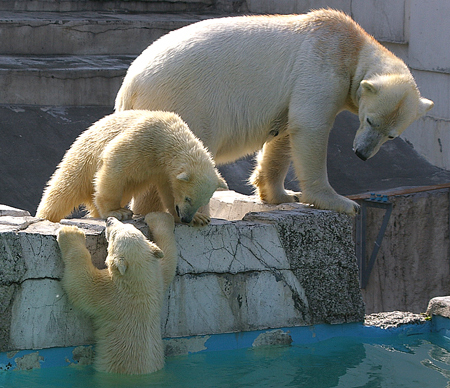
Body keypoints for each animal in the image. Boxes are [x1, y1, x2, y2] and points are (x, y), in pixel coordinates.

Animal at [35, 110, 227, 224]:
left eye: (203, 201)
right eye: (188, 198)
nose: (186, 219)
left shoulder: (163, 169)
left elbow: (168, 190)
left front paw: (199, 217)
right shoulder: (144, 138)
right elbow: (114, 160)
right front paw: (117, 212)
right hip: (81, 158)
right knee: (63, 190)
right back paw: (46, 216)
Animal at [58, 211, 179, 374]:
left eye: (114, 234)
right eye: (130, 226)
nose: (109, 219)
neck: (139, 284)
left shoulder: (110, 295)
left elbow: (80, 284)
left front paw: (70, 232)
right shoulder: (157, 279)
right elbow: (169, 257)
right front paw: (159, 216)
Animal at [115, 8, 432, 215]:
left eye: (391, 136)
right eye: (370, 120)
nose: (362, 154)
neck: (353, 45)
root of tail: (129, 85)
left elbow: (285, 134)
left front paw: (283, 195)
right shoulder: (321, 66)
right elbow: (310, 127)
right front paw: (341, 203)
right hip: (182, 99)